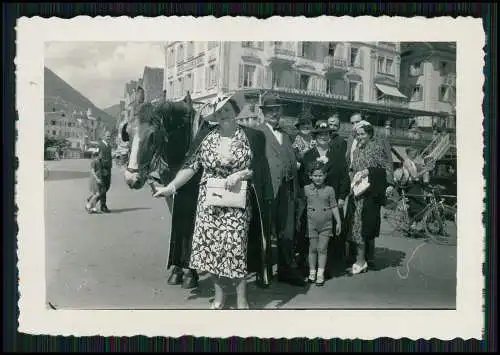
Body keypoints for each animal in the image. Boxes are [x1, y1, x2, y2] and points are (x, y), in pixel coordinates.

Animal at [121, 92, 205, 290]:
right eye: (128, 133)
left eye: (153, 136)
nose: (132, 179)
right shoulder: (170, 193)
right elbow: (177, 222)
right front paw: (177, 271)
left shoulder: (194, 197)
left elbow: (190, 229)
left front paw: (190, 274)